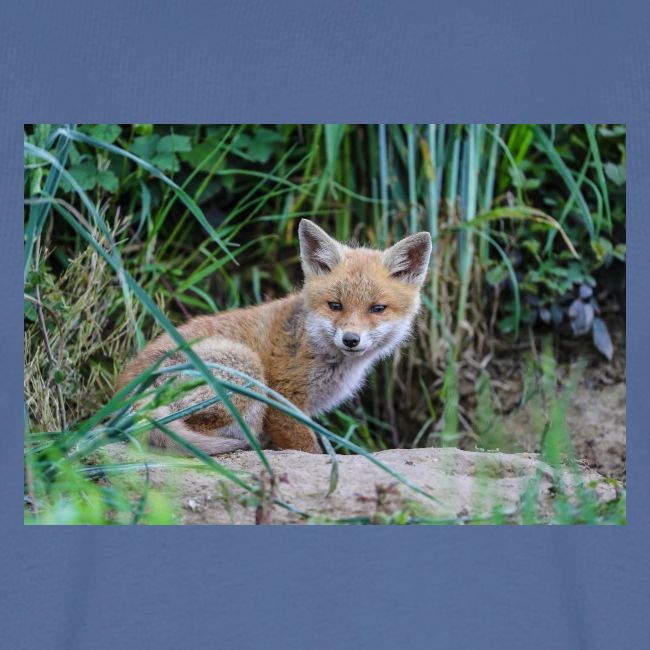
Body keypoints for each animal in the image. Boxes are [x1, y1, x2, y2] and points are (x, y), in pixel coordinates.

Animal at [116, 219, 432, 455]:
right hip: (246, 368)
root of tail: (124, 396)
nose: (351, 339)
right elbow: (308, 449)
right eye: (335, 305)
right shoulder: (283, 401)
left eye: (377, 309)